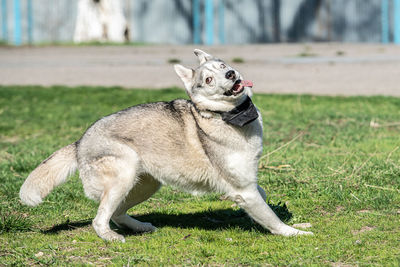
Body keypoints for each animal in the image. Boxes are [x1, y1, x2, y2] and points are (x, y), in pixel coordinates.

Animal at [18, 49, 312, 243]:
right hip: (124, 176)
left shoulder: (248, 183)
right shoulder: (243, 189)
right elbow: (270, 218)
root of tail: (79, 142)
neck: (229, 116)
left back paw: (140, 227)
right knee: (100, 218)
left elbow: (264, 196)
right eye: (208, 80)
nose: (231, 73)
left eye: (222, 66)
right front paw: (294, 233)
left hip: (146, 184)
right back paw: (112, 238)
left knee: (118, 213)